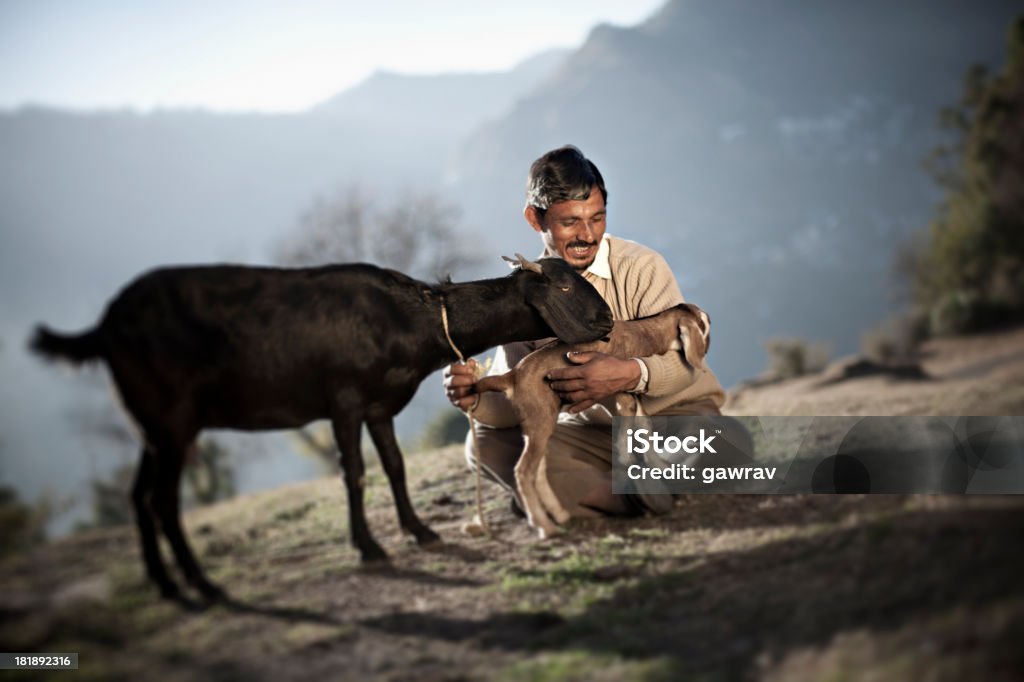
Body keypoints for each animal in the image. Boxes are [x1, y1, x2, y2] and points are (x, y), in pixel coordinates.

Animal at [28, 256, 610, 602]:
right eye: (563, 283)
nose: (606, 321)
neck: (411, 320)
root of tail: (104, 326)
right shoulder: (345, 401)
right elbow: (355, 473)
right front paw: (369, 547)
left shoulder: (378, 406)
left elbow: (394, 466)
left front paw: (420, 531)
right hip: (172, 419)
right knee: (163, 499)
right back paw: (201, 585)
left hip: (151, 421)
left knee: (138, 494)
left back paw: (165, 583)